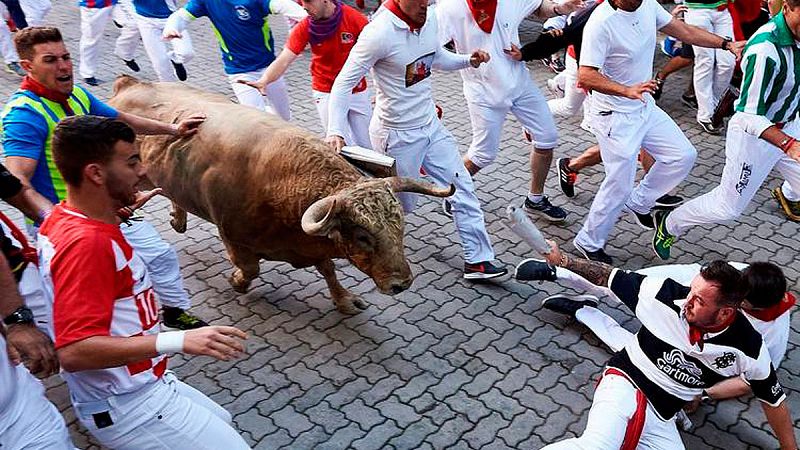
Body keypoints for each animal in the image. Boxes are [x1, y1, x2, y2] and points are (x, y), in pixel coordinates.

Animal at [109, 75, 454, 312]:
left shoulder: (313, 243)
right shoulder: (232, 235)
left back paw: (178, 218)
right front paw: (237, 281)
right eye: (362, 236)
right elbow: (250, 268)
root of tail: (130, 85)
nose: (402, 283)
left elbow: (328, 269)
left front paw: (344, 299)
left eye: (400, 228)